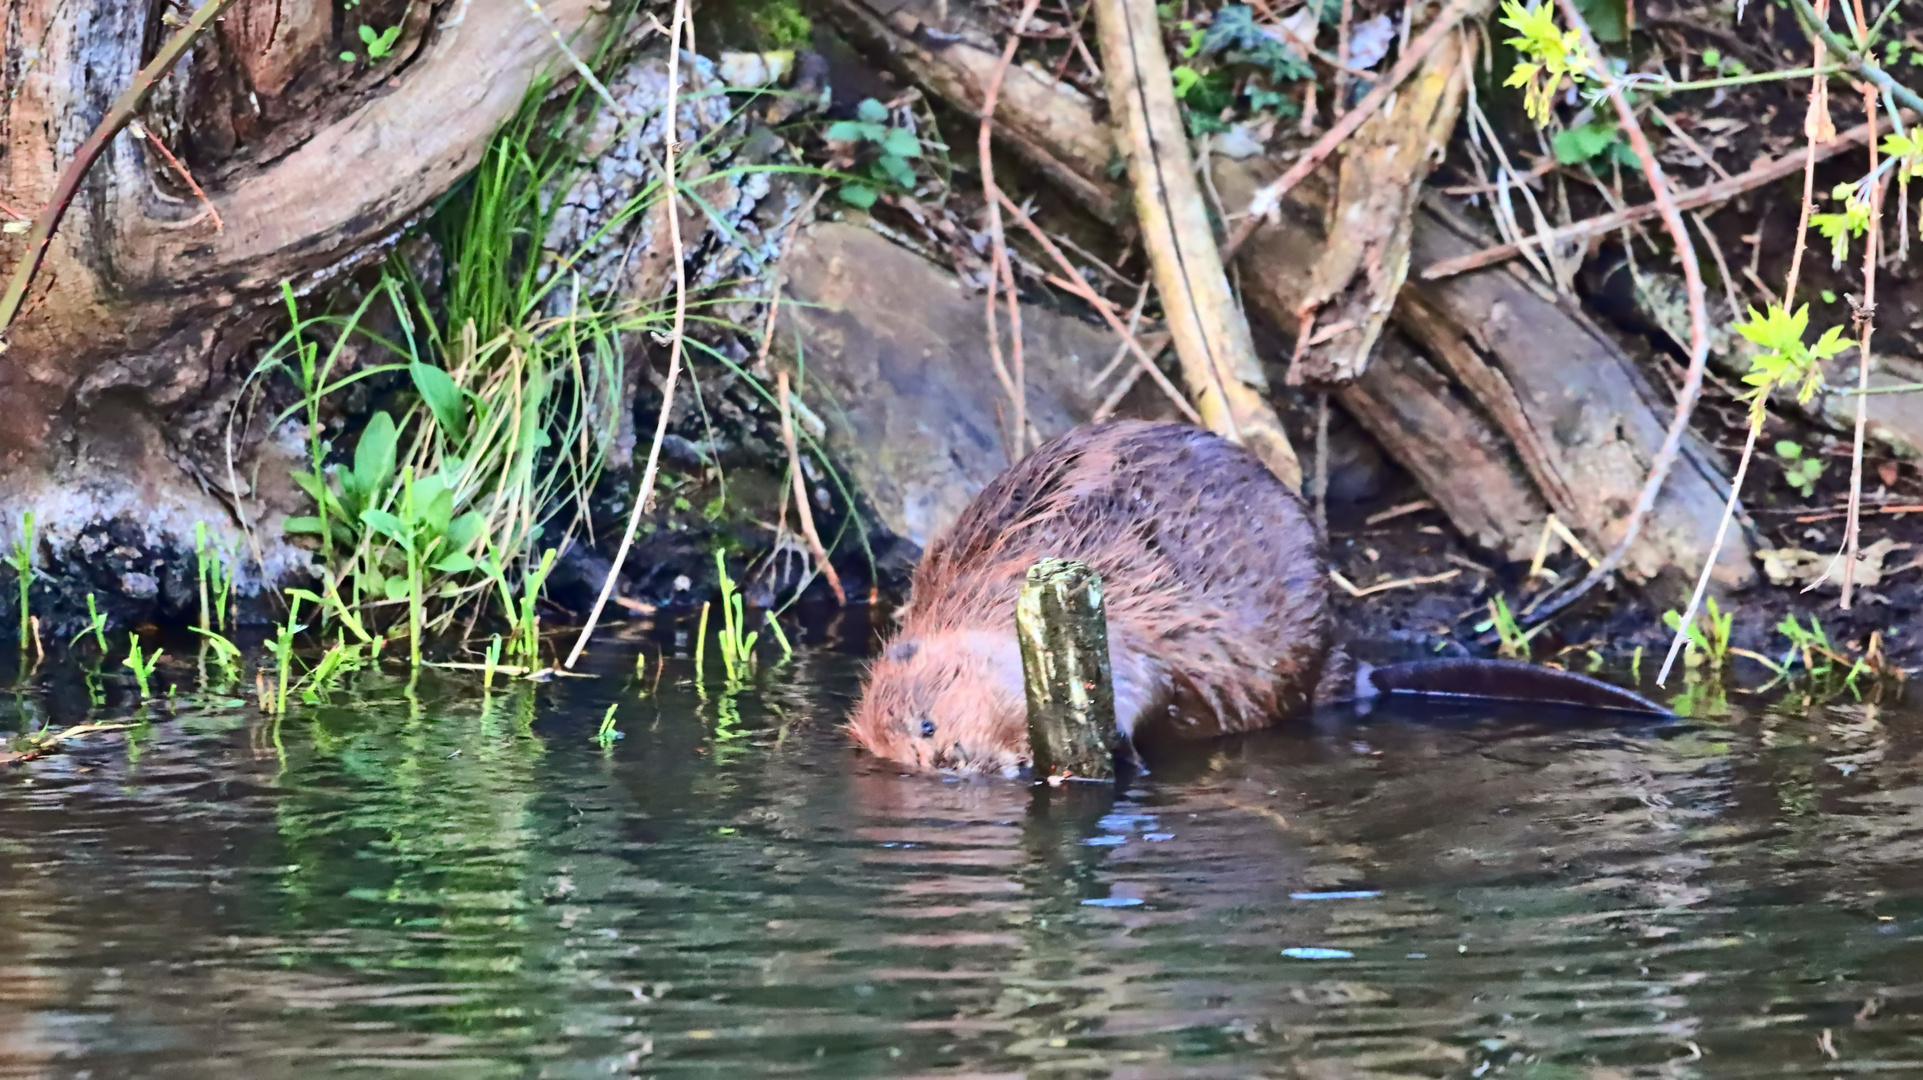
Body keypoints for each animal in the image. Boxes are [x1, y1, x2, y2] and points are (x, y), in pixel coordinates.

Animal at [849, 413, 1661, 772]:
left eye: (928, 724)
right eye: (900, 755)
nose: (953, 765)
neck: (984, 606)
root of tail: (1347, 669)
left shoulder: (1140, 623)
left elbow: (1142, 685)